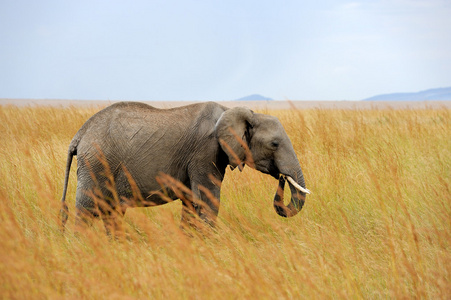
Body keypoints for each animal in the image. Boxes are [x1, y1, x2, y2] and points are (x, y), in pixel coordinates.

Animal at [59, 102, 310, 233]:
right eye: (274, 144)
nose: (282, 177)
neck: (232, 110)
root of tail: (80, 134)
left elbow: (191, 203)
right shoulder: (205, 152)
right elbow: (208, 201)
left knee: (111, 211)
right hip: (96, 161)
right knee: (87, 208)